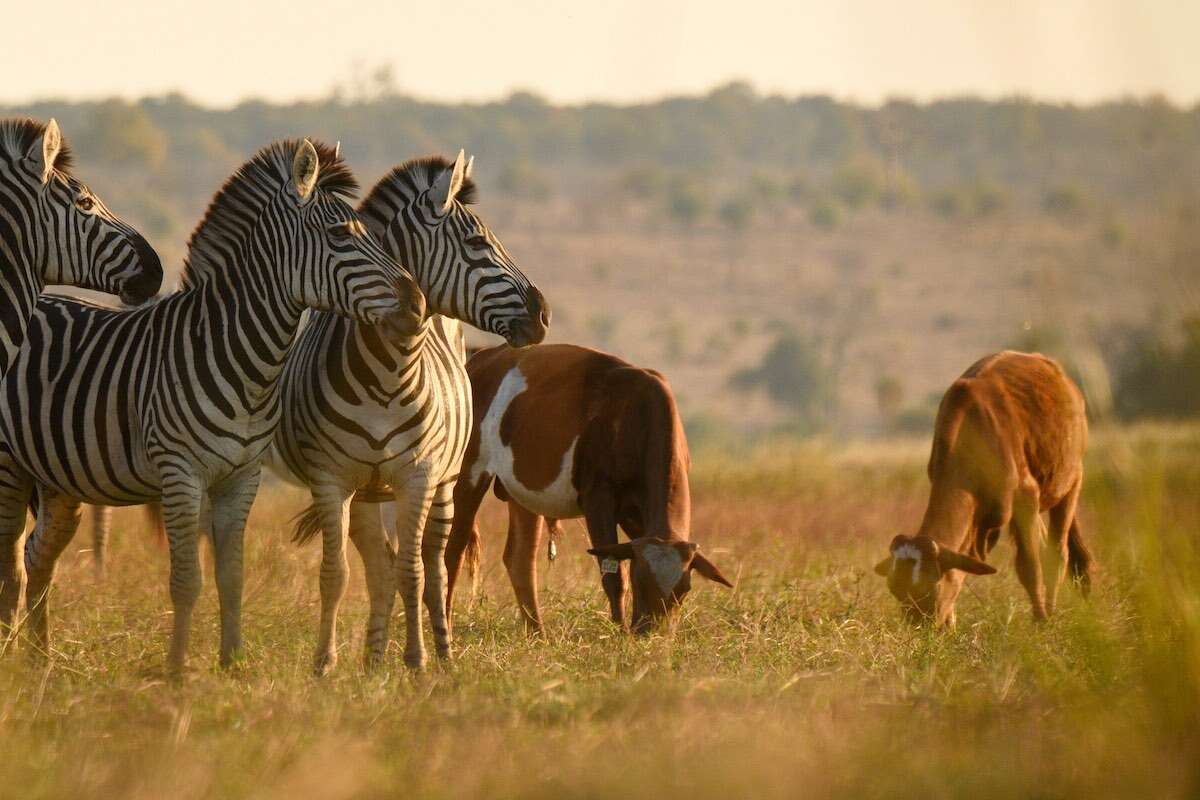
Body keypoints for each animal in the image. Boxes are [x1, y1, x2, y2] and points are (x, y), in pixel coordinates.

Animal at [3, 139, 427, 676]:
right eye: (339, 235)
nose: (417, 304)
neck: (241, 359)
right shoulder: (180, 472)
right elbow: (187, 580)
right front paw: (177, 673)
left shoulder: (241, 476)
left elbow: (232, 575)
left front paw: (232, 664)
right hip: (9, 465)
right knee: (10, 564)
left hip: (58, 479)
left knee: (38, 558)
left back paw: (37, 662)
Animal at [274, 148, 549, 671]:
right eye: (477, 242)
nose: (543, 315)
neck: (387, 372)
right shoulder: (332, 480)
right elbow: (337, 574)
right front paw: (326, 664)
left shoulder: (417, 478)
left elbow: (415, 572)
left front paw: (417, 661)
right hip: (367, 493)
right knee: (379, 569)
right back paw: (374, 660)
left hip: (444, 484)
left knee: (435, 566)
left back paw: (441, 654)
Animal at [446, 345, 729, 638]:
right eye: (640, 581)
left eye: (683, 590)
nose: (651, 633)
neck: (636, 418)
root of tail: (481, 359)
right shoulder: (598, 499)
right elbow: (613, 576)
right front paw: (620, 631)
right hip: (467, 475)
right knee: (453, 552)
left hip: (521, 495)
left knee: (520, 559)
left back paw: (538, 635)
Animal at [878, 352, 1094, 628]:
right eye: (895, 589)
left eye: (930, 588)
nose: (919, 628)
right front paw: (951, 623)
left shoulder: (1025, 497)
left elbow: (1029, 565)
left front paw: (1040, 622)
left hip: (1071, 481)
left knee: (1057, 553)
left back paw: (1051, 612)